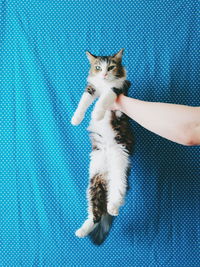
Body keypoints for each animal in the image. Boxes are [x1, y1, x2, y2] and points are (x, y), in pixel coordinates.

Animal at [70, 48, 134, 245]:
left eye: (111, 67)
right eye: (98, 67)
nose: (105, 74)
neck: (105, 83)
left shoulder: (120, 88)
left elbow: (105, 98)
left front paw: (97, 113)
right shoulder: (91, 89)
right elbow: (83, 101)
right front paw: (76, 119)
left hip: (119, 166)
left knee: (117, 194)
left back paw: (113, 207)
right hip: (94, 183)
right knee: (95, 214)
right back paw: (82, 231)